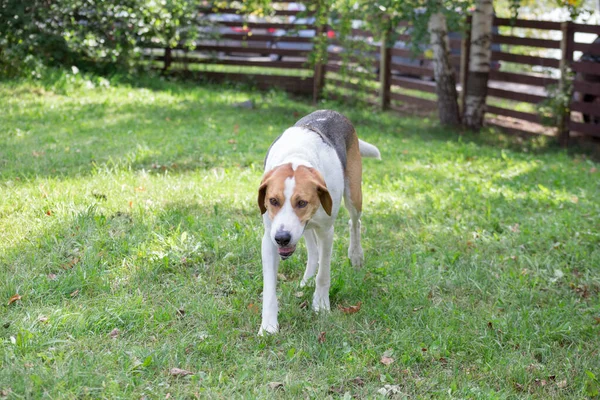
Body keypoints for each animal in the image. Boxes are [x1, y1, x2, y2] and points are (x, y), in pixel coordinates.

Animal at [256, 110, 380, 334]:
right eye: (273, 201)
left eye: (302, 202)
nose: (282, 238)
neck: (298, 156)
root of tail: (332, 112)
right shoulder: (269, 238)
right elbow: (269, 287)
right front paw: (268, 326)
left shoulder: (326, 231)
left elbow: (324, 275)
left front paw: (321, 305)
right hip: (303, 229)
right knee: (313, 252)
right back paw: (306, 280)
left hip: (353, 194)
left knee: (355, 223)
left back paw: (356, 255)